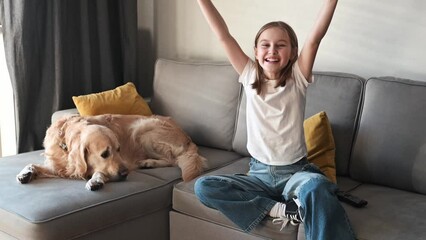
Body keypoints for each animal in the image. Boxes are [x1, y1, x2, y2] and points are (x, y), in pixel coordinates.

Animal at [16, 113, 208, 190]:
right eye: (105, 154)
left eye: (119, 150)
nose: (125, 173)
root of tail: (187, 137)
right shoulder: (61, 166)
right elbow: (33, 163)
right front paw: (25, 173)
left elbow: (100, 171)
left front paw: (96, 180)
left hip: (141, 129)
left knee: (172, 159)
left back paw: (148, 162)